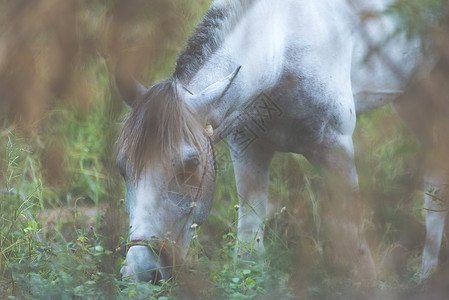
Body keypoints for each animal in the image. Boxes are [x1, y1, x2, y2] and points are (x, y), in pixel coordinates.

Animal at [114, 0, 444, 284]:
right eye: (122, 168)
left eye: (189, 165)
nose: (140, 272)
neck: (282, 49)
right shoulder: (248, 150)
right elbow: (247, 253)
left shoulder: (337, 149)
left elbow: (356, 247)